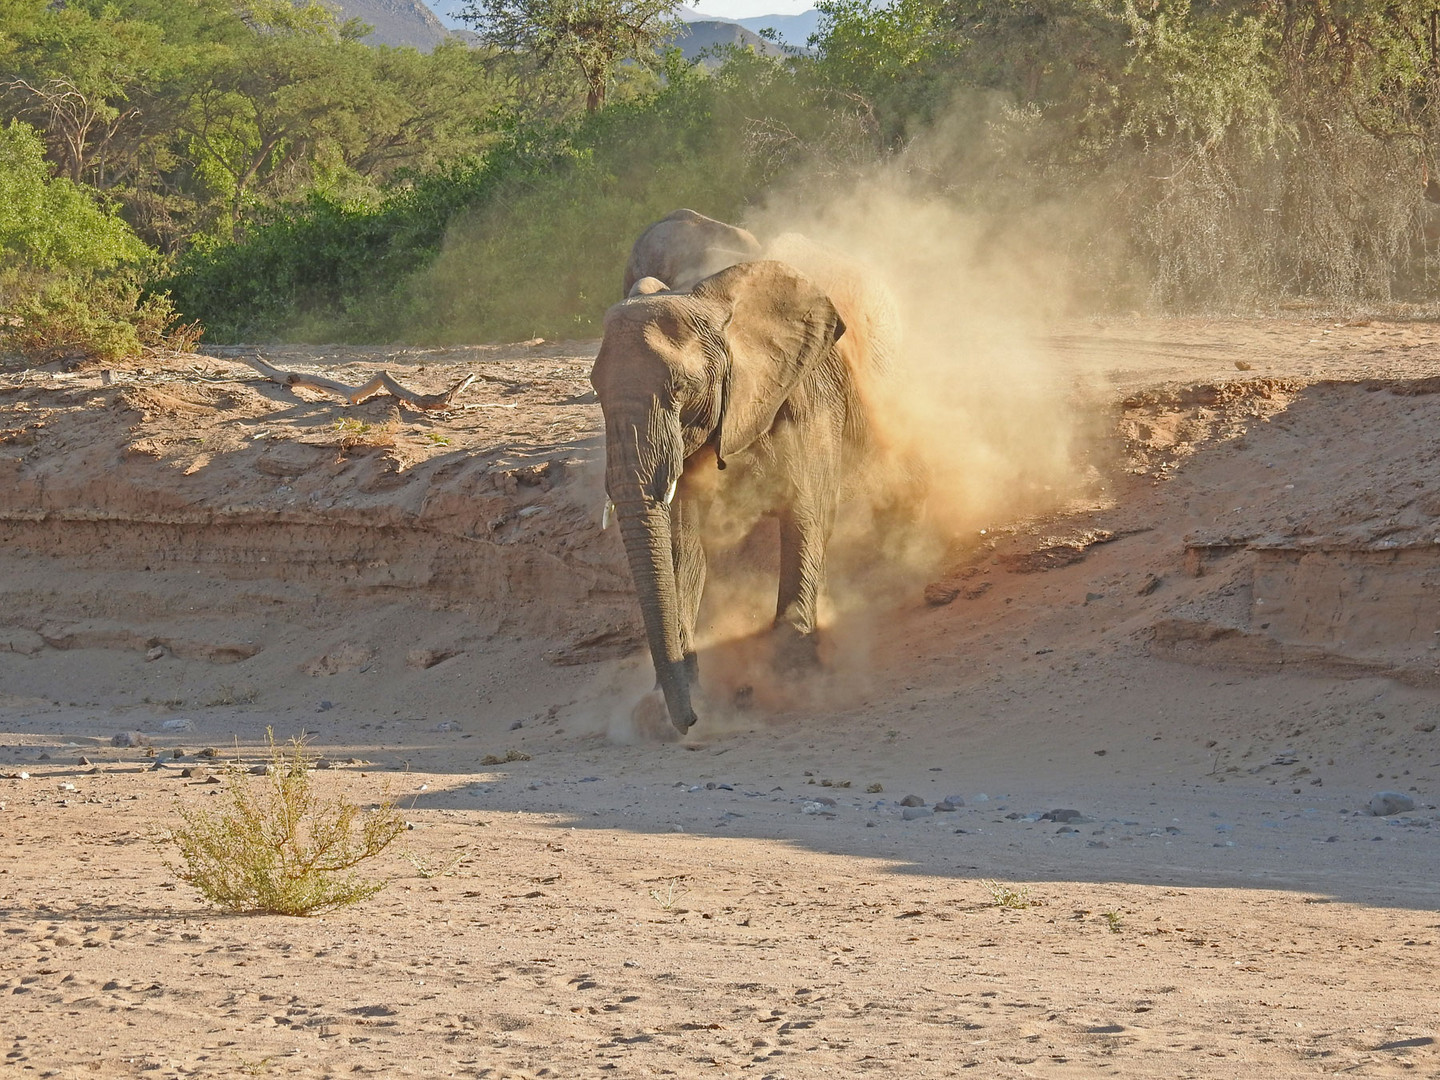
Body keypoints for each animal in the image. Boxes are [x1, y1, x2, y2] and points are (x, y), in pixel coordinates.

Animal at [587, 260, 858, 737]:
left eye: (680, 389)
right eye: (595, 389)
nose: (692, 722)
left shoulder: (806, 398)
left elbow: (806, 514)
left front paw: (792, 677)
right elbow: (680, 547)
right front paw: (664, 703)